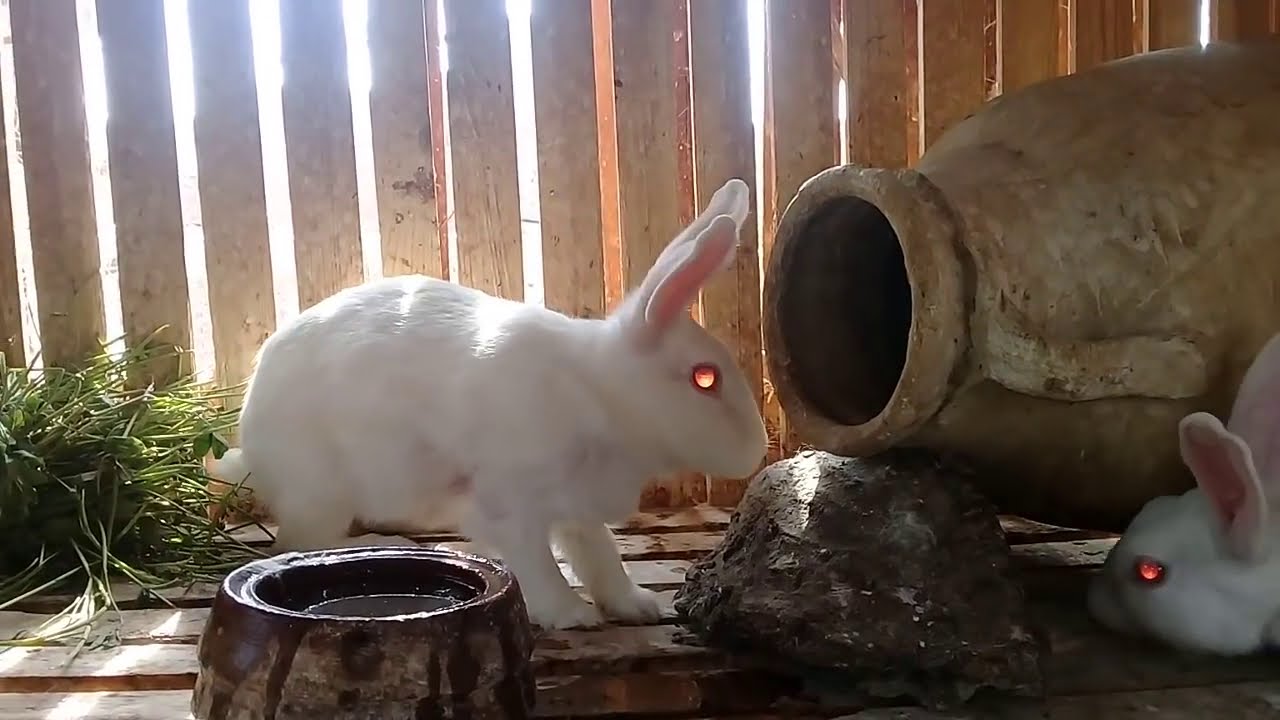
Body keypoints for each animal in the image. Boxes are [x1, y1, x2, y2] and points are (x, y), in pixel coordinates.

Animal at [205, 178, 769, 630]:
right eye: (704, 378)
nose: (757, 450)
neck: (598, 394)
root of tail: (251, 449)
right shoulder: (509, 503)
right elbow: (536, 562)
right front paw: (571, 616)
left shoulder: (578, 510)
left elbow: (599, 555)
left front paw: (635, 606)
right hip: (322, 493)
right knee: (296, 544)